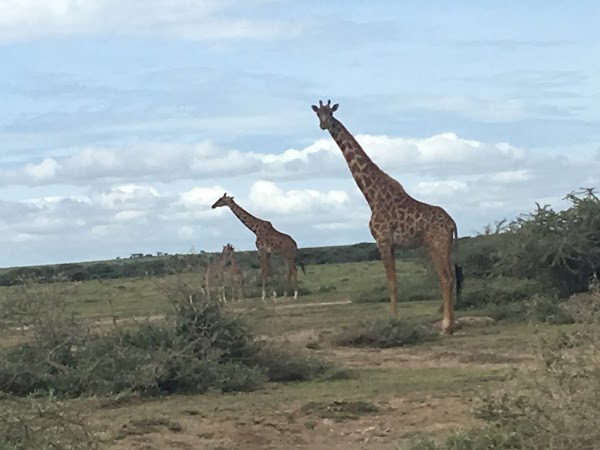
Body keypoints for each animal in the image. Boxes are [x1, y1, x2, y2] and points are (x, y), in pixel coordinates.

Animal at [311, 100, 462, 335]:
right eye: (318, 114)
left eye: (331, 113)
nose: (324, 125)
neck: (372, 197)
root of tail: (452, 223)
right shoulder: (390, 244)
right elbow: (395, 282)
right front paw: (395, 319)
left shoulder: (382, 240)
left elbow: (391, 283)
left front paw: (394, 321)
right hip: (442, 245)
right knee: (450, 277)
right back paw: (451, 324)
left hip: (436, 244)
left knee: (445, 278)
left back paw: (446, 326)